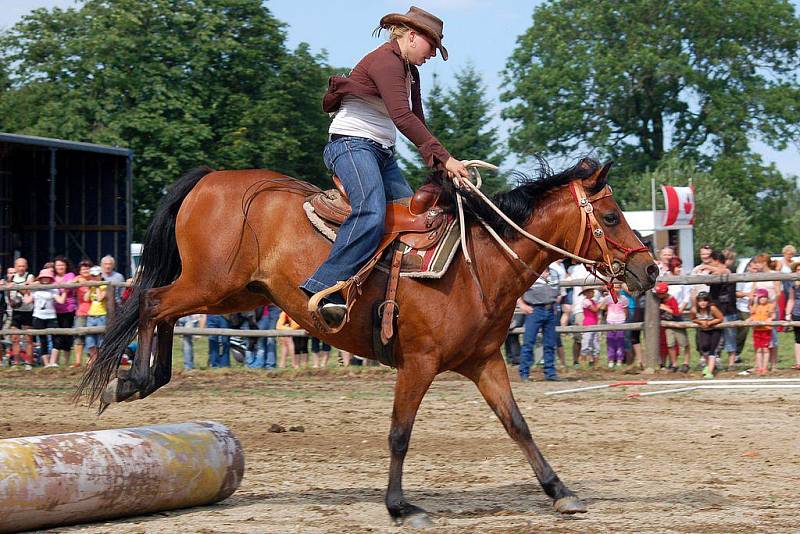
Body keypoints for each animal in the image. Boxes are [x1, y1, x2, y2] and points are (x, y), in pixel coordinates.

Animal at [79, 158, 656, 528]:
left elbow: (518, 425)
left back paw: (143, 379)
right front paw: (400, 506)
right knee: (151, 302)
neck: (480, 262)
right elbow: (400, 434)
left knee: (162, 308)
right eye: (610, 217)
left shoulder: (485, 362)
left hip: (230, 291)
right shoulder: (418, 363)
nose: (649, 269)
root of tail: (212, 179)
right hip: (210, 284)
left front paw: (561, 492)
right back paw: (133, 379)